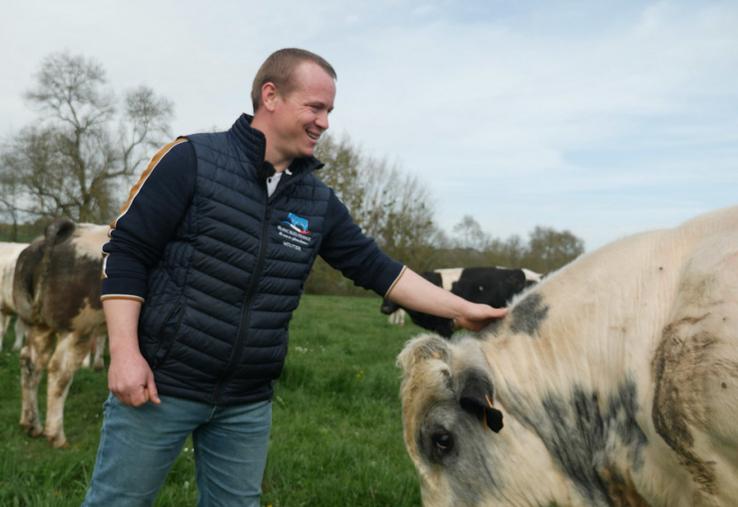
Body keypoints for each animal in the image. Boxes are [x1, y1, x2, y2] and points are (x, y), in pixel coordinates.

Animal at [14, 218, 108, 448]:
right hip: (78, 327)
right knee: (59, 371)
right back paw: (56, 434)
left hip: (38, 324)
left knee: (30, 361)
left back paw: (31, 424)